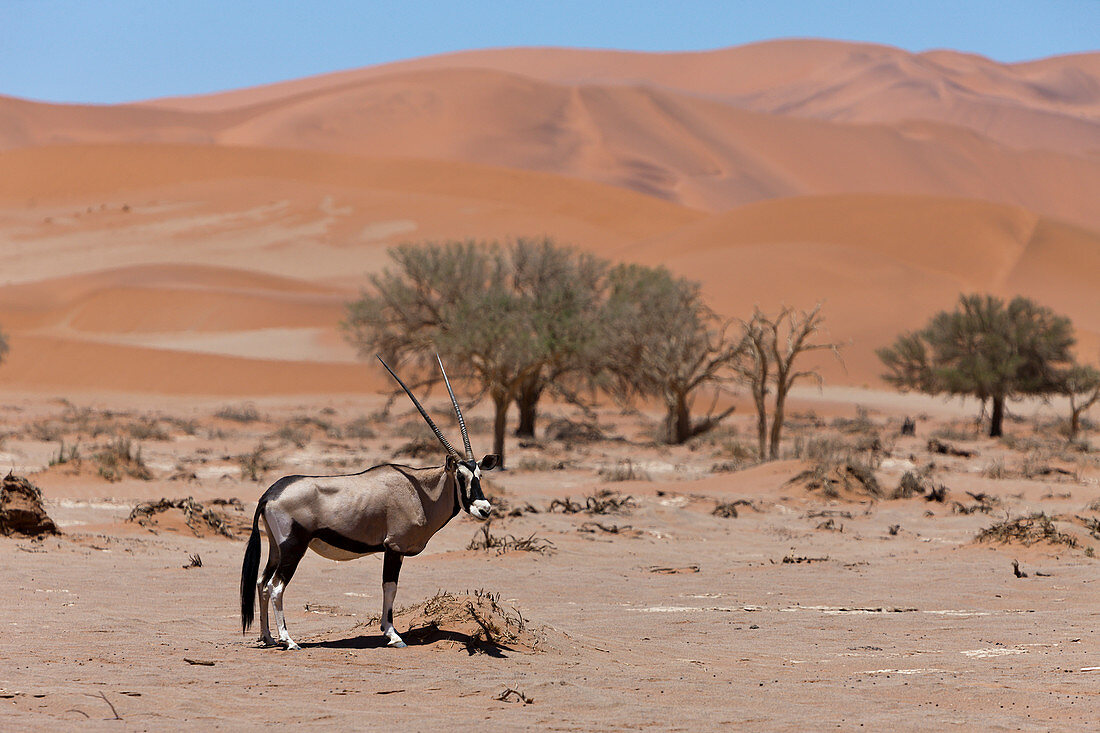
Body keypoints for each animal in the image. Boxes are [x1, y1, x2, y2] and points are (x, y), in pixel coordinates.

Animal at [243, 356, 501, 647]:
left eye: (479, 475)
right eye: (460, 475)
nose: (484, 509)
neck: (420, 491)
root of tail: (270, 493)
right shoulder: (394, 547)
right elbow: (390, 588)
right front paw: (392, 634)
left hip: (276, 548)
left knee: (262, 583)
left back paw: (267, 637)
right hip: (293, 548)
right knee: (275, 586)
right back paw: (288, 640)